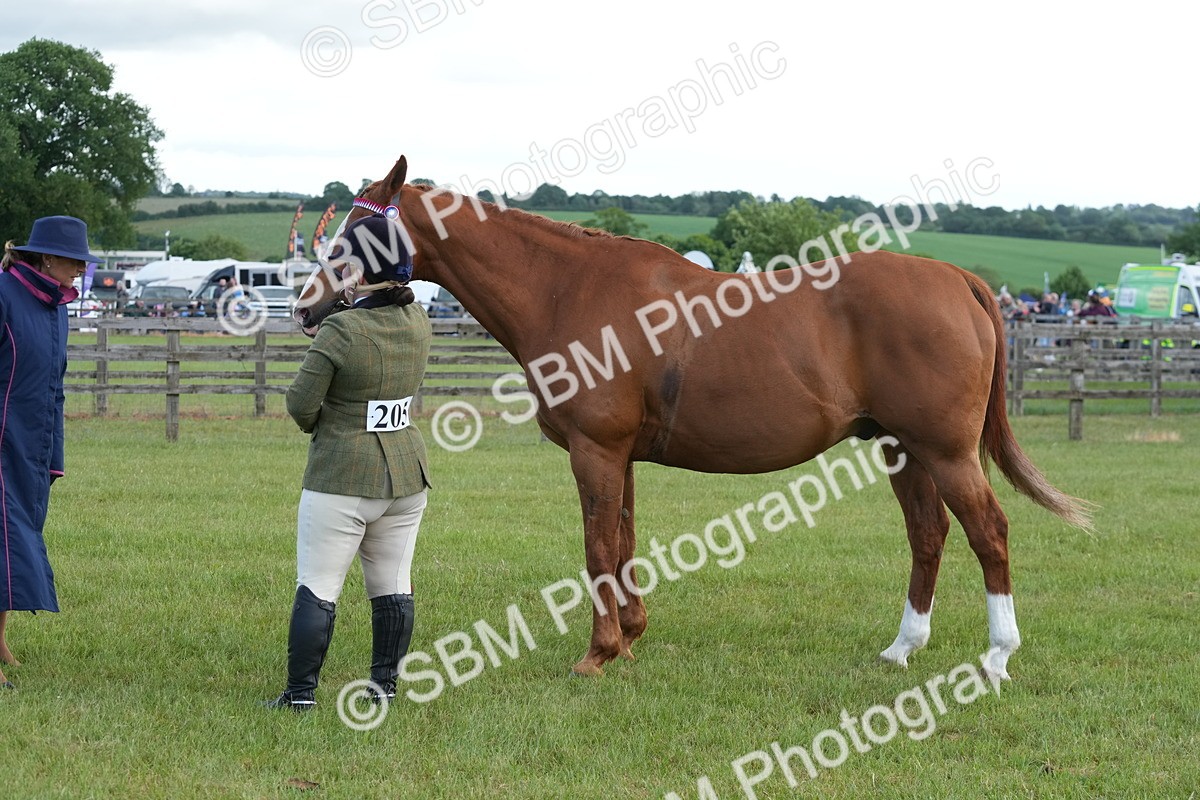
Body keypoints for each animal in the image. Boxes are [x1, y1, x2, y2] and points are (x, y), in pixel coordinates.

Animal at [295, 156, 1091, 680]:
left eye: (360, 231)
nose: (306, 304)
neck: (568, 288)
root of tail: (957, 278)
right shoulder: (621, 456)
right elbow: (622, 542)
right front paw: (630, 636)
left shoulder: (595, 451)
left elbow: (597, 548)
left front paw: (598, 653)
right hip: (903, 448)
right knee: (928, 534)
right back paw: (903, 647)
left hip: (946, 451)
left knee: (989, 532)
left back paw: (997, 655)